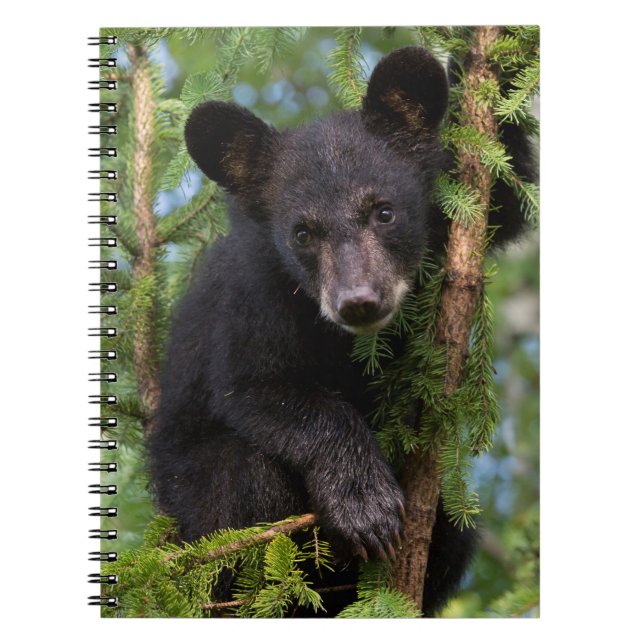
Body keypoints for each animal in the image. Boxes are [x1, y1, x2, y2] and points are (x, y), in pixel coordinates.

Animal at [147, 46, 533, 616]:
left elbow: (507, 192)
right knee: (240, 484)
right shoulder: (253, 294)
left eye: (384, 211)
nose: (358, 301)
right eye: (302, 233)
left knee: (454, 528)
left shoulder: (454, 217)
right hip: (190, 502)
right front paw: (364, 505)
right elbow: (258, 387)